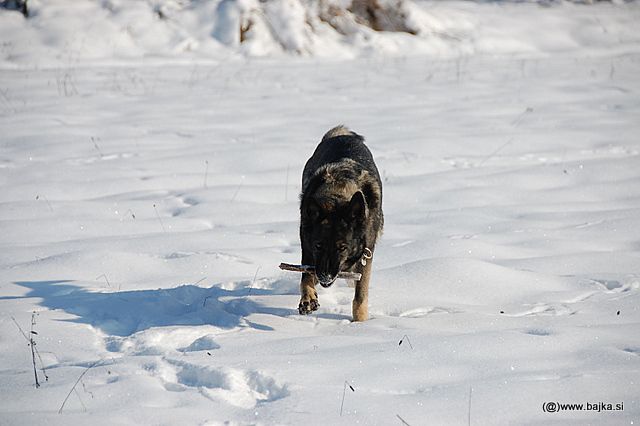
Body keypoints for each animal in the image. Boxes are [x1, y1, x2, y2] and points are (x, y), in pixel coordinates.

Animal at [298, 125, 382, 322]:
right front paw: (308, 298)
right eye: (318, 245)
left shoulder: (366, 256)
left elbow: (360, 296)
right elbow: (306, 276)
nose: (326, 277)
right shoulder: (308, 247)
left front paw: (359, 323)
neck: (338, 196)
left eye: (342, 247)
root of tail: (341, 135)